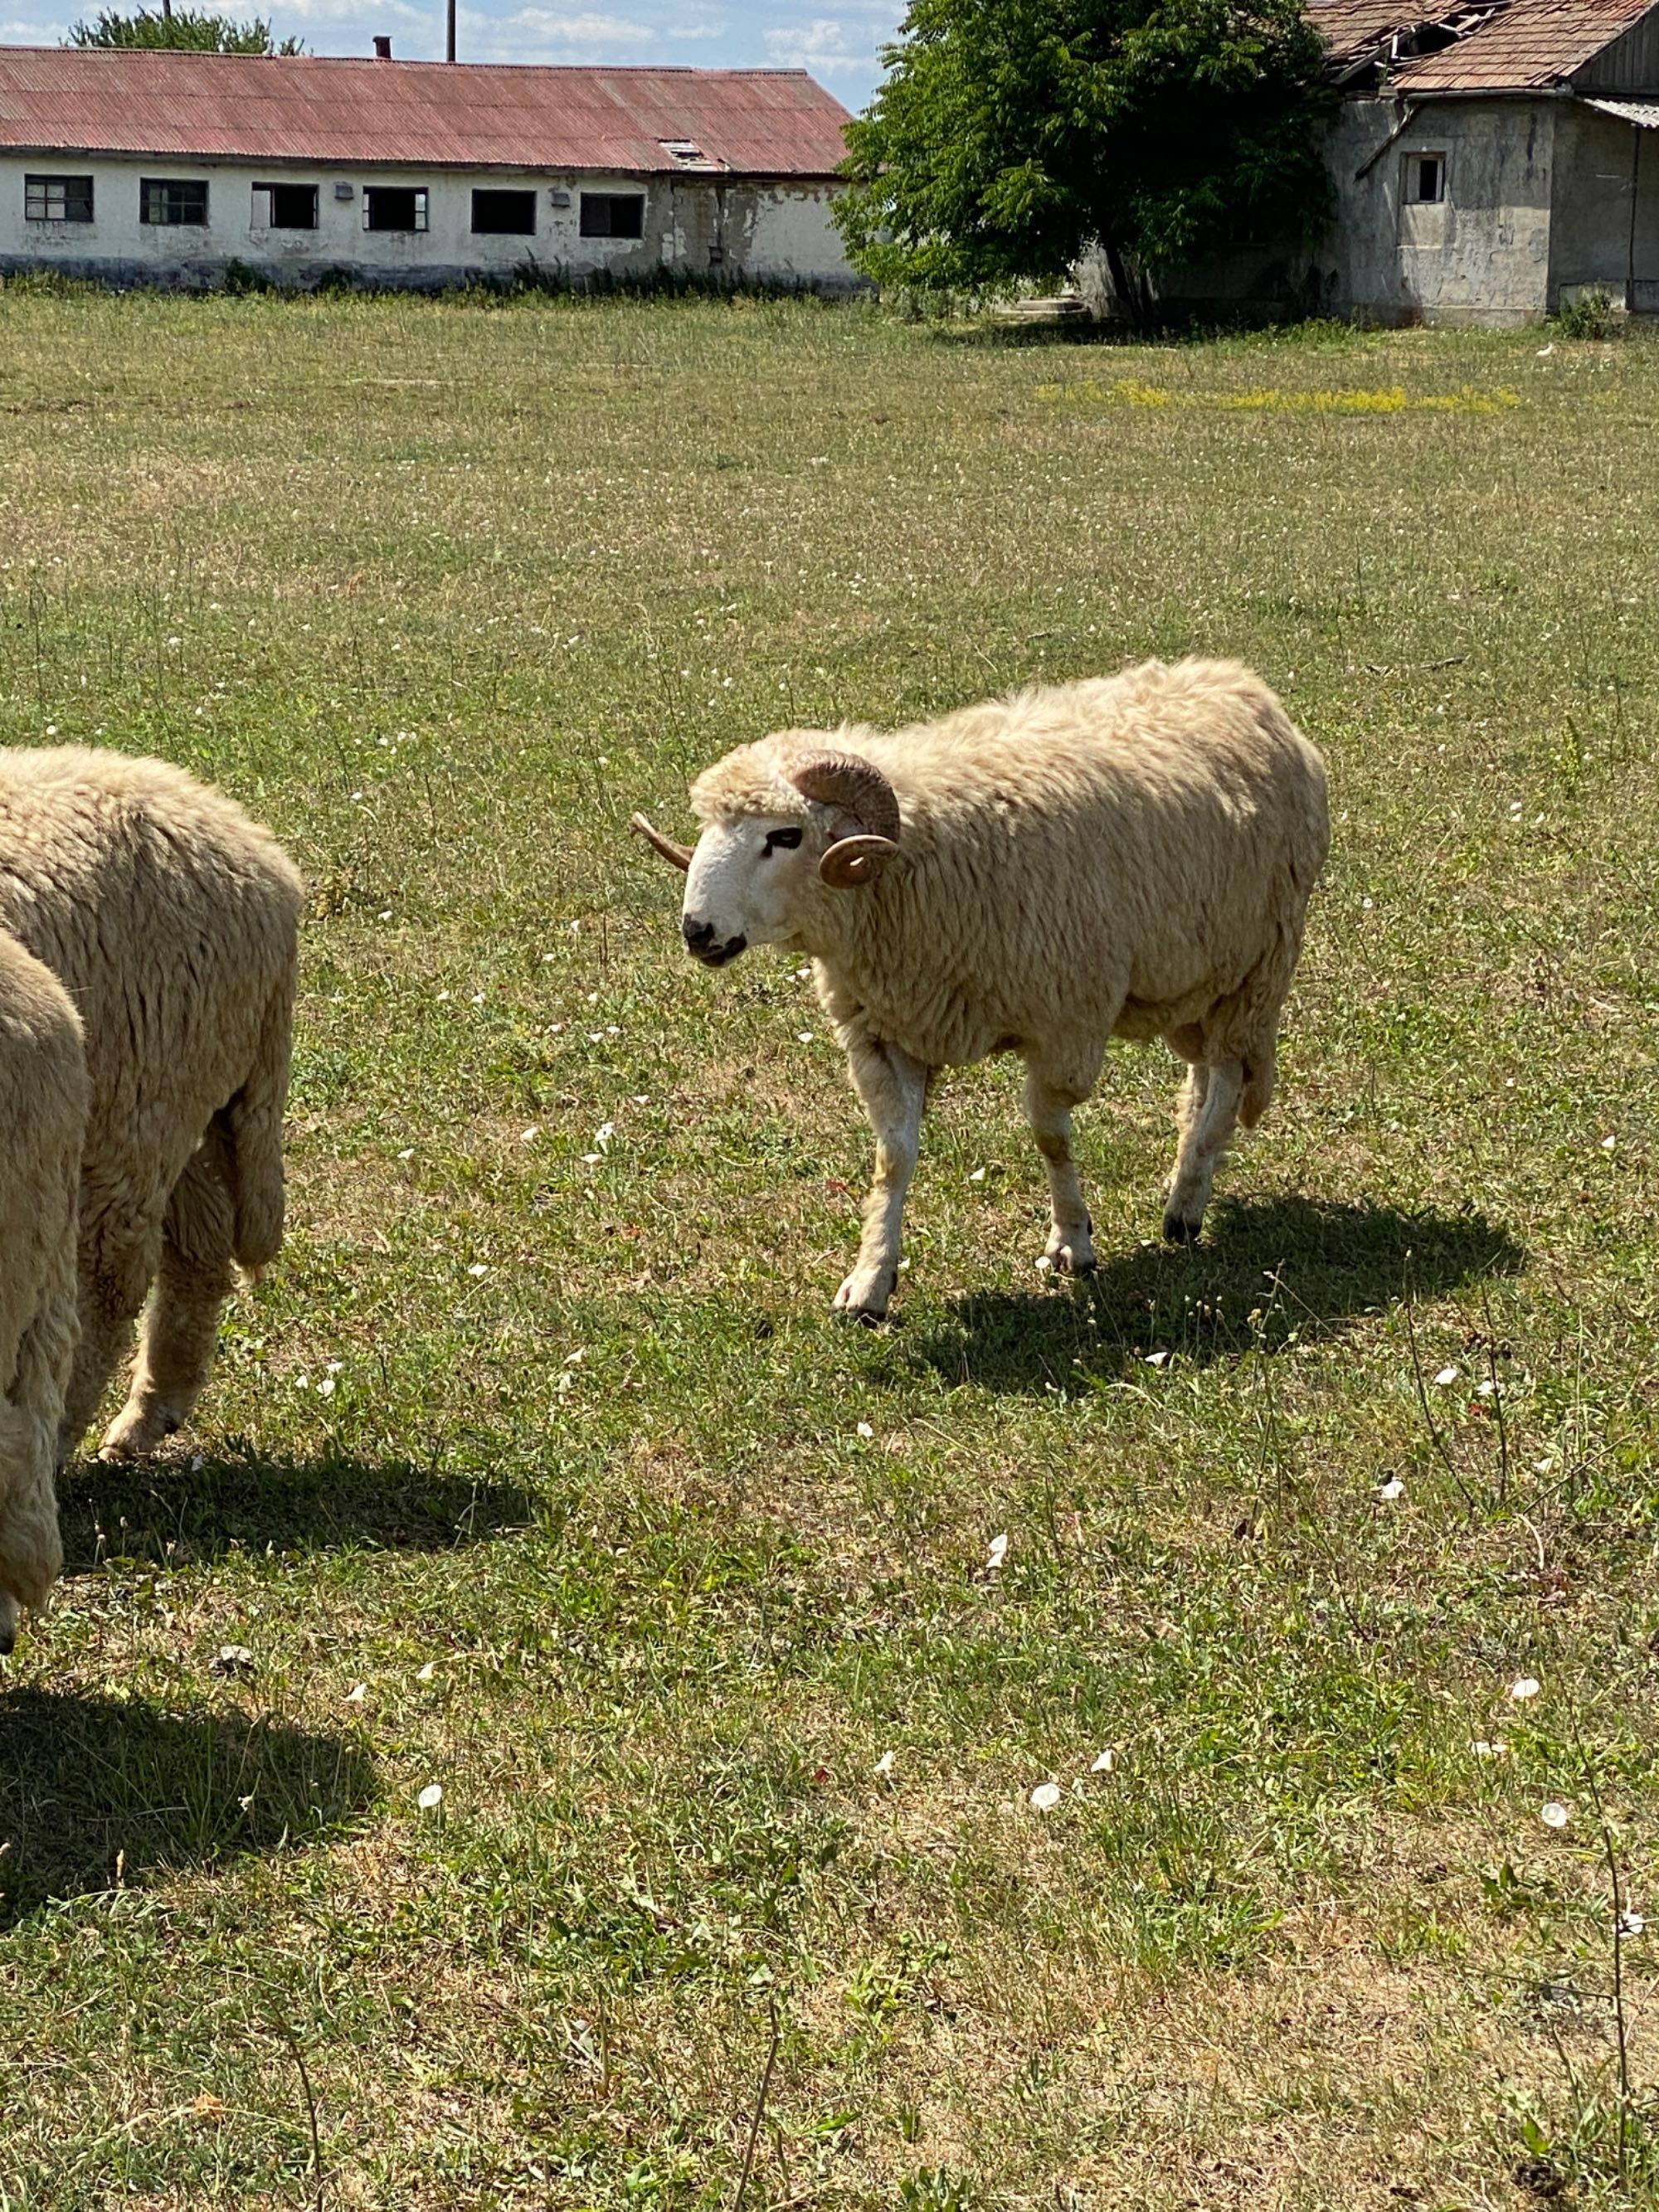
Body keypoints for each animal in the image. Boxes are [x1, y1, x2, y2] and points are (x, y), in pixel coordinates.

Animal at [0, 751, 303, 1460]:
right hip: (186, 1093)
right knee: (200, 1244)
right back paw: (153, 1410)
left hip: (135, 1101)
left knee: (108, 1279)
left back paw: (73, 1436)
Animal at [628, 654, 1335, 1309]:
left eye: (784, 834)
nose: (697, 929)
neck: (914, 863)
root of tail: (1237, 680)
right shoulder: (885, 1032)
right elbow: (893, 1157)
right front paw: (871, 1279)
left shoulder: (1064, 1024)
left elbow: (1051, 1137)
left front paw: (1072, 1241)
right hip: (1190, 980)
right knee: (1206, 1073)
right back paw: (1189, 1175)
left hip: (1256, 967)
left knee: (1231, 1076)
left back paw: (1187, 1204)